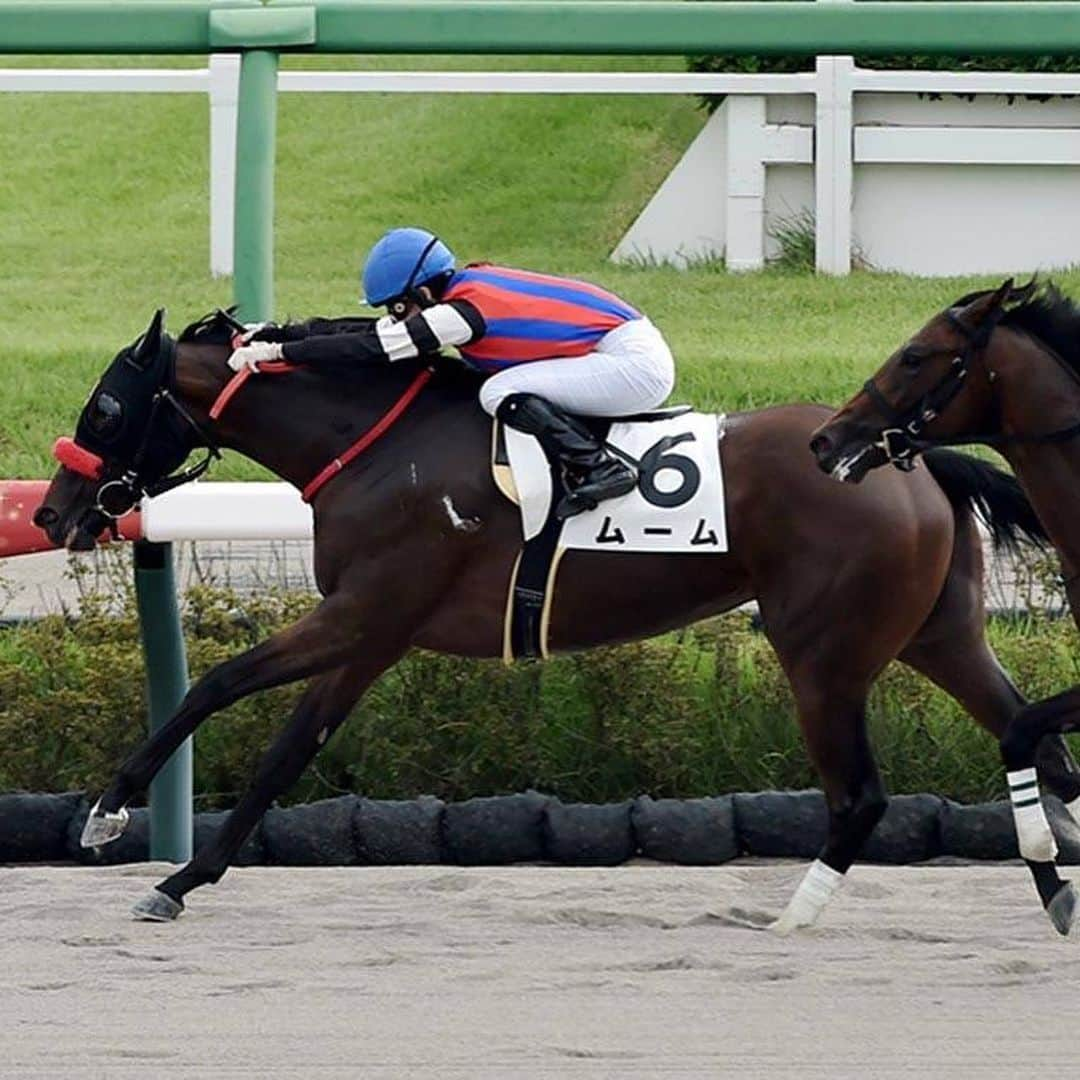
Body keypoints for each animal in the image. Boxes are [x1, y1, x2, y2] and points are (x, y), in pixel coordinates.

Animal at [38, 306, 1067, 928]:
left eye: (106, 408)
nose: (53, 513)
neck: (379, 446)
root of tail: (912, 458)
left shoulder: (362, 612)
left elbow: (212, 684)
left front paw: (106, 815)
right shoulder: (371, 635)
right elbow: (287, 754)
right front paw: (181, 879)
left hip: (824, 653)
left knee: (861, 795)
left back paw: (792, 918)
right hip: (937, 633)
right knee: (1035, 740)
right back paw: (1054, 886)